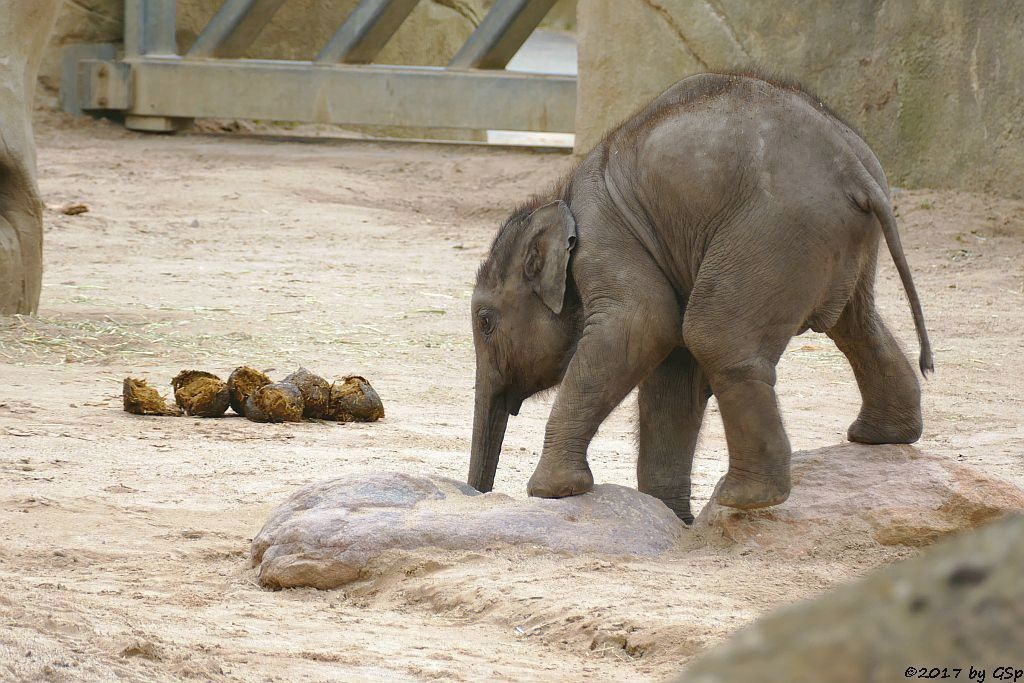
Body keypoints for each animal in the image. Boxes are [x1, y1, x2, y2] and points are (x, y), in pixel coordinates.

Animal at [468, 70, 933, 524]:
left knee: (716, 336)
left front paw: (552, 492)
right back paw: (879, 437)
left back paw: (746, 498)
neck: (557, 197)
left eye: (486, 322)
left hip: (777, 232)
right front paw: (670, 515)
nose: (479, 492)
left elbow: (644, 324)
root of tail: (851, 165)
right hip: (837, 238)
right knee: (858, 326)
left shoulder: (604, 240)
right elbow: (671, 370)